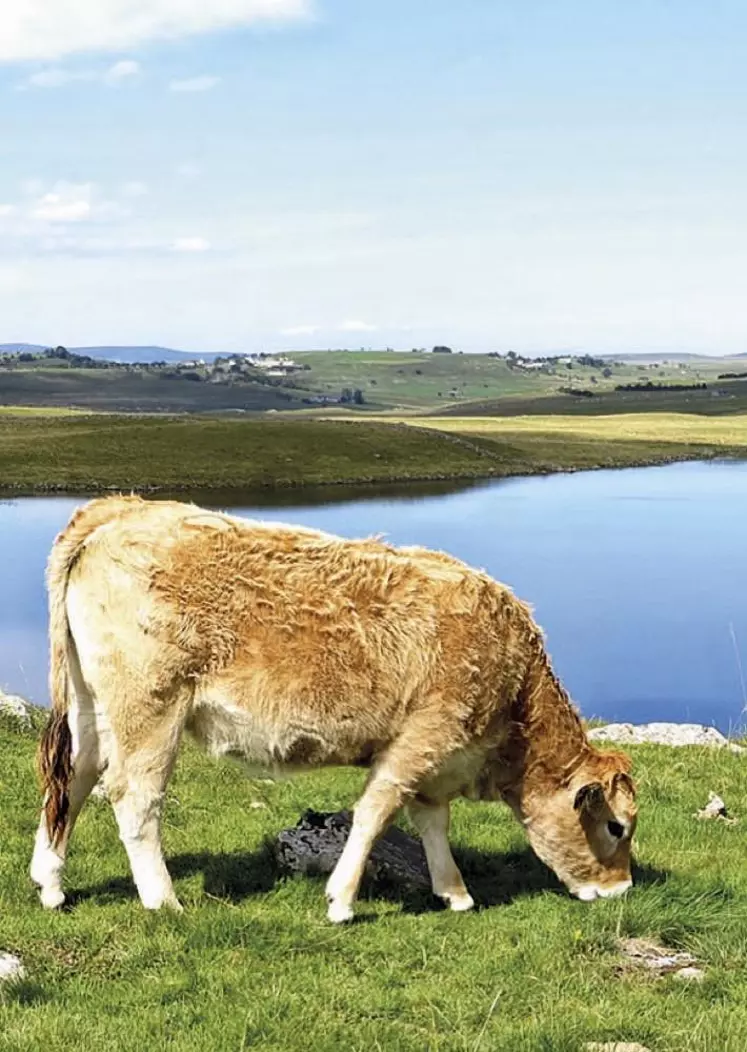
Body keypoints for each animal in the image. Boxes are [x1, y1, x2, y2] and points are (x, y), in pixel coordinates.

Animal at [29, 494, 639, 921]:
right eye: (616, 827)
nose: (622, 889)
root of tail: (122, 509)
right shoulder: (423, 737)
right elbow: (375, 813)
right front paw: (341, 901)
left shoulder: (438, 755)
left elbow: (431, 821)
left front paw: (455, 892)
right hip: (150, 705)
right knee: (133, 796)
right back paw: (163, 900)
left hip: (92, 704)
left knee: (73, 778)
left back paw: (51, 883)